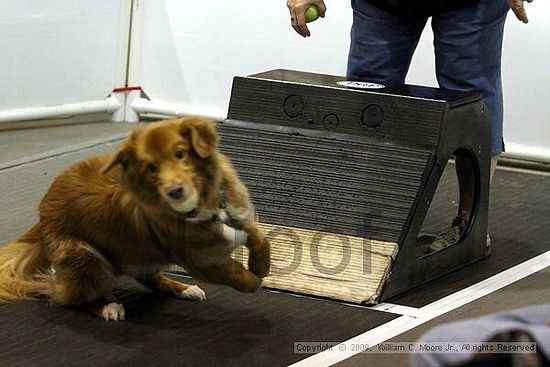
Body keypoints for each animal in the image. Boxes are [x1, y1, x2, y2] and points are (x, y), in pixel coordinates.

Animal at [0, 118, 270, 322]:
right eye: (151, 168)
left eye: (180, 154)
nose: (174, 191)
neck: (204, 205)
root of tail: (44, 212)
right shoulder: (201, 260)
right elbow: (237, 275)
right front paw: (255, 280)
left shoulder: (239, 215)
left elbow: (260, 237)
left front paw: (261, 266)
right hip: (86, 258)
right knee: (68, 296)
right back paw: (108, 306)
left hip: (138, 251)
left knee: (148, 277)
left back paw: (184, 288)